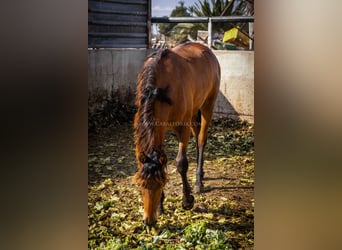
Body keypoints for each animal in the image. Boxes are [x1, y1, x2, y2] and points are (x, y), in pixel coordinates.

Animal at [132, 42, 220, 226]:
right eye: (141, 185)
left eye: (160, 184)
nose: (149, 221)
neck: (158, 91)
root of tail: (206, 49)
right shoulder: (161, 128)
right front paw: (160, 207)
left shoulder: (182, 128)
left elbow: (181, 163)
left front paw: (187, 201)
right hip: (194, 113)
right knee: (197, 137)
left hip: (208, 105)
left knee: (201, 140)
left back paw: (199, 181)